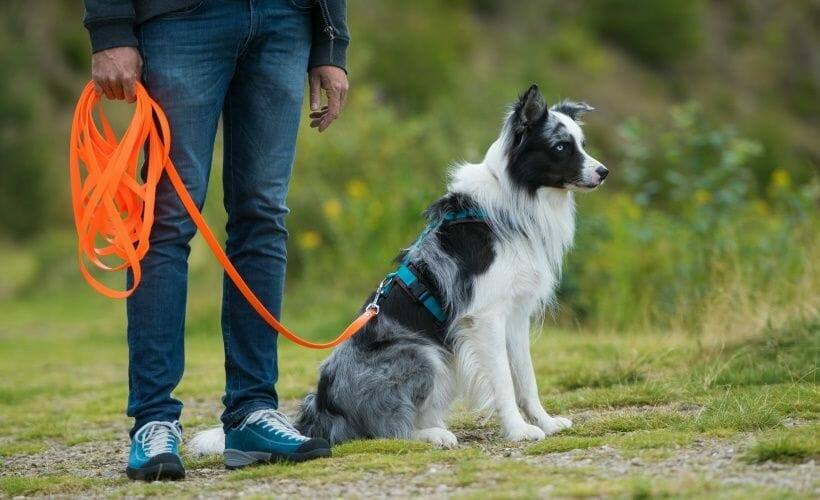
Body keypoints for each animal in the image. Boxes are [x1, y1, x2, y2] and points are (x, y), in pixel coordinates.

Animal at [189, 84, 604, 452]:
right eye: (561, 147)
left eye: (582, 143)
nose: (604, 172)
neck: (516, 200)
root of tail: (323, 408)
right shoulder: (484, 318)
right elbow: (503, 380)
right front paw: (518, 431)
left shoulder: (515, 315)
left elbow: (526, 377)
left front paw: (545, 422)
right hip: (423, 353)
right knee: (388, 430)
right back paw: (431, 435)